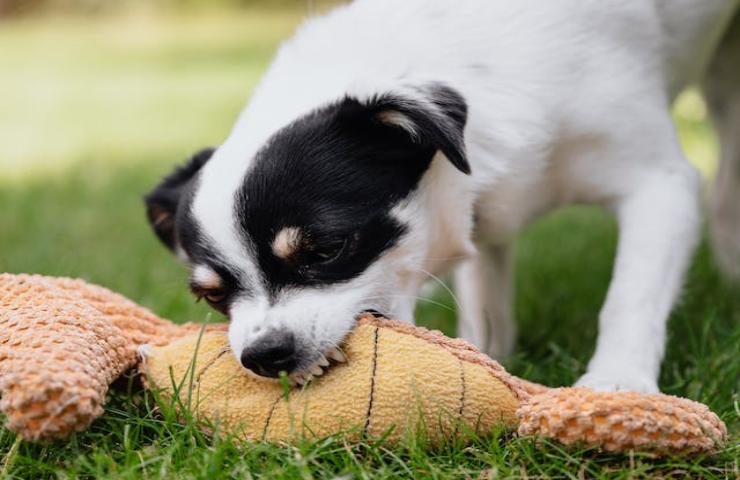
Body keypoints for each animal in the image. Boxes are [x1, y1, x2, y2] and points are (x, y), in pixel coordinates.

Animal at [145, 0, 740, 392]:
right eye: (213, 297)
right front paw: (489, 358)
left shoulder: (660, 184)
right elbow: (485, 301)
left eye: (326, 250)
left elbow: (630, 296)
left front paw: (618, 382)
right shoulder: (483, 220)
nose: (263, 354)